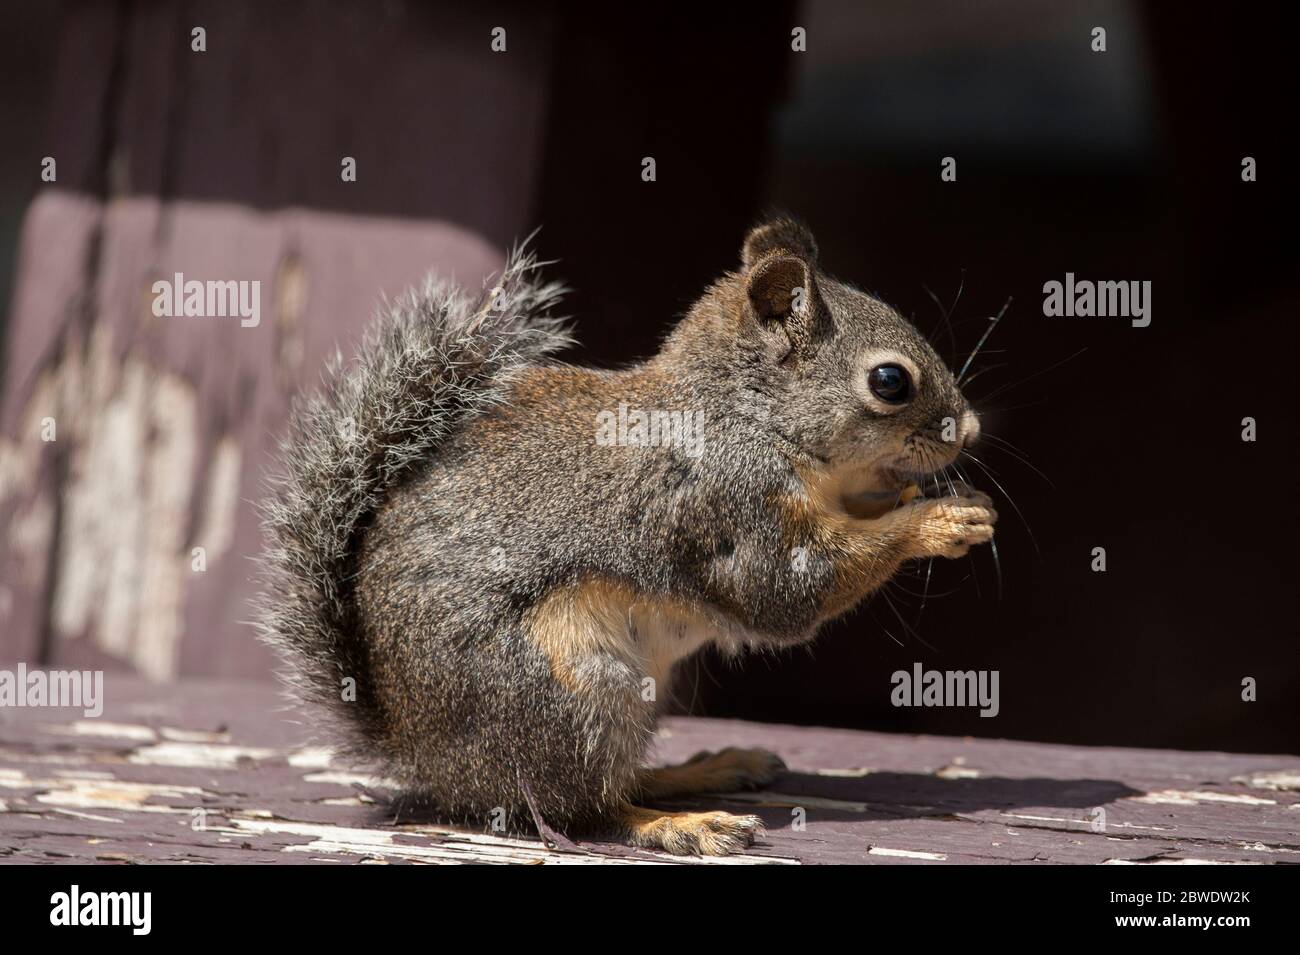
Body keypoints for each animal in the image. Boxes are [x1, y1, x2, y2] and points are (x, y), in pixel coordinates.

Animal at [253, 218, 993, 857]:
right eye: (890, 381)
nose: (972, 428)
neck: (744, 415)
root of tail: (425, 755)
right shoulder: (729, 504)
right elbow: (785, 592)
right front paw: (934, 521)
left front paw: (930, 500)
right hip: (577, 685)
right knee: (584, 807)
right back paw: (679, 823)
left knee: (611, 781)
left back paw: (702, 768)